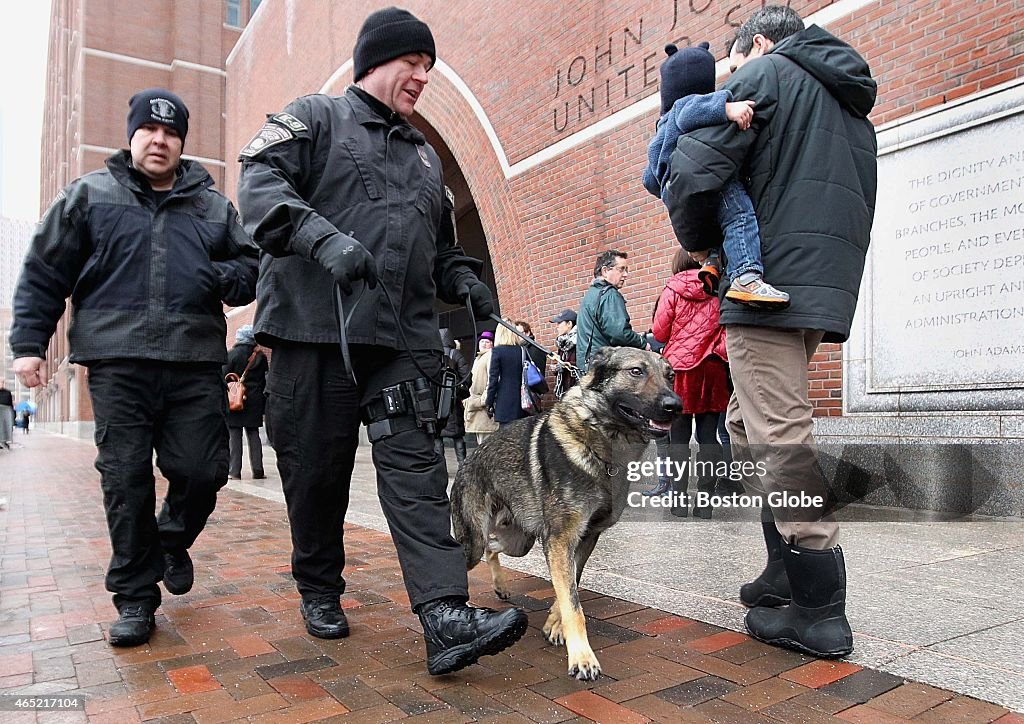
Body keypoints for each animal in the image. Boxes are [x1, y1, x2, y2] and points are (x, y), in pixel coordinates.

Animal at [450, 346, 679, 679]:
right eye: (636, 371)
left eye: (670, 376)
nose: (675, 406)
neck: (600, 443)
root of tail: (469, 458)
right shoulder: (560, 540)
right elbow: (573, 604)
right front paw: (582, 657)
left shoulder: (582, 540)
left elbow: (569, 588)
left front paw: (554, 625)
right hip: (474, 543)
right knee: (471, 553)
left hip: (518, 543)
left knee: (494, 550)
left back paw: (501, 587)